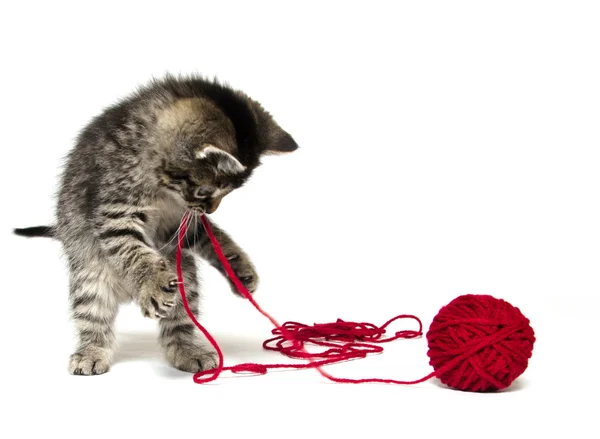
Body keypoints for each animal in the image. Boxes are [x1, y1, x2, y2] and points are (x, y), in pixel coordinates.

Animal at [12, 74, 298, 376]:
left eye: (227, 193)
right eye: (205, 191)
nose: (212, 209)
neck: (162, 190)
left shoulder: (178, 224)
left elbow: (212, 237)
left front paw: (238, 268)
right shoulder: (115, 211)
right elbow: (134, 251)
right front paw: (152, 282)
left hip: (185, 280)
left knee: (180, 322)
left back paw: (188, 350)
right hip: (89, 277)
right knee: (92, 317)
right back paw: (90, 352)